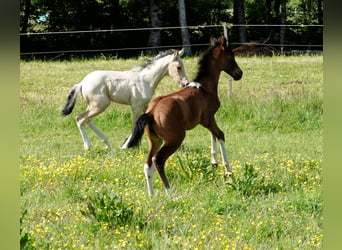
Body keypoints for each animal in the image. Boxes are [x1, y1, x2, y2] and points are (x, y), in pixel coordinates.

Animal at [126, 36, 243, 196]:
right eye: (231, 56)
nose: (239, 74)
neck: (204, 87)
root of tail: (151, 113)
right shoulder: (207, 119)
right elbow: (220, 135)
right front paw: (228, 171)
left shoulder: (208, 120)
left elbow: (213, 135)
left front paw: (214, 162)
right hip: (175, 139)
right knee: (158, 160)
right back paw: (169, 192)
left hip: (155, 140)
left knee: (148, 163)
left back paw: (151, 195)